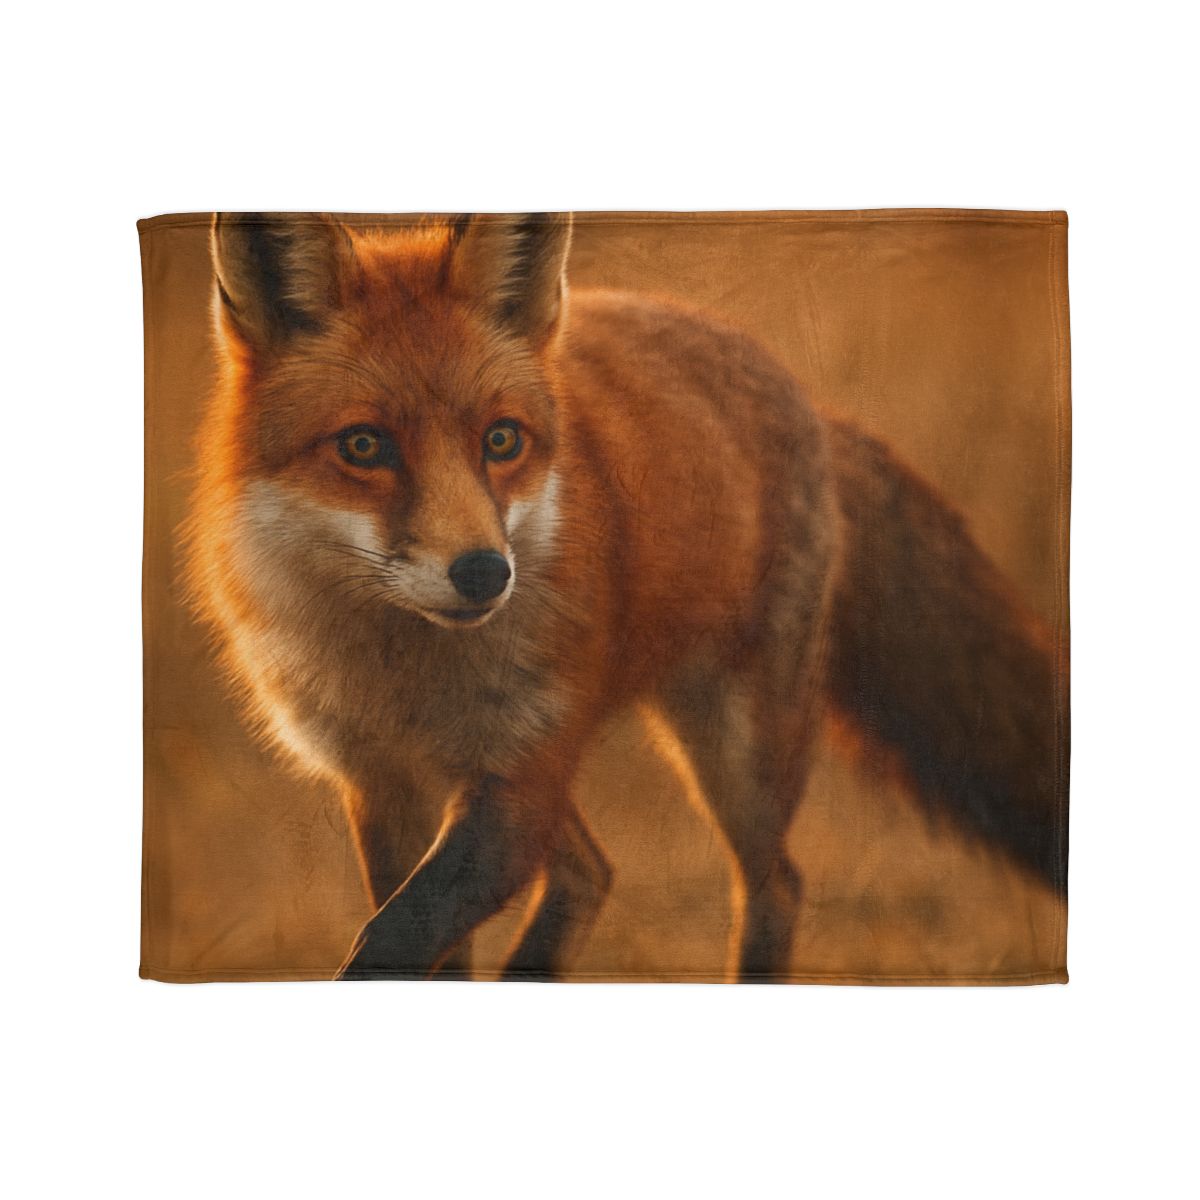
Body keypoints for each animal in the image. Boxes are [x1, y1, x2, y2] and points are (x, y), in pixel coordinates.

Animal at [187, 211, 1067, 982]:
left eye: (501, 439)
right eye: (364, 446)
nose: (484, 572)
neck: (408, 678)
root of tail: (812, 403)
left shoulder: (518, 778)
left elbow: (392, 937)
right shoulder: (384, 786)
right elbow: (412, 947)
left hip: (735, 752)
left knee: (771, 884)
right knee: (591, 872)